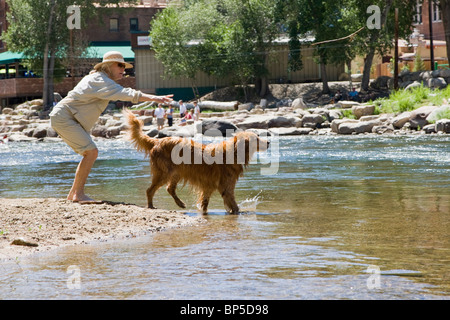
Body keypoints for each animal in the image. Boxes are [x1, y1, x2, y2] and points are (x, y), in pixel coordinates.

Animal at [123, 109, 268, 214]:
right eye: (256, 139)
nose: (268, 142)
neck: (234, 152)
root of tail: (158, 141)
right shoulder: (226, 186)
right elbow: (233, 204)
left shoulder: (209, 186)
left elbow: (205, 203)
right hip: (165, 172)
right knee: (150, 190)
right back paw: (151, 206)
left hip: (176, 172)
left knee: (169, 188)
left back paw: (180, 203)